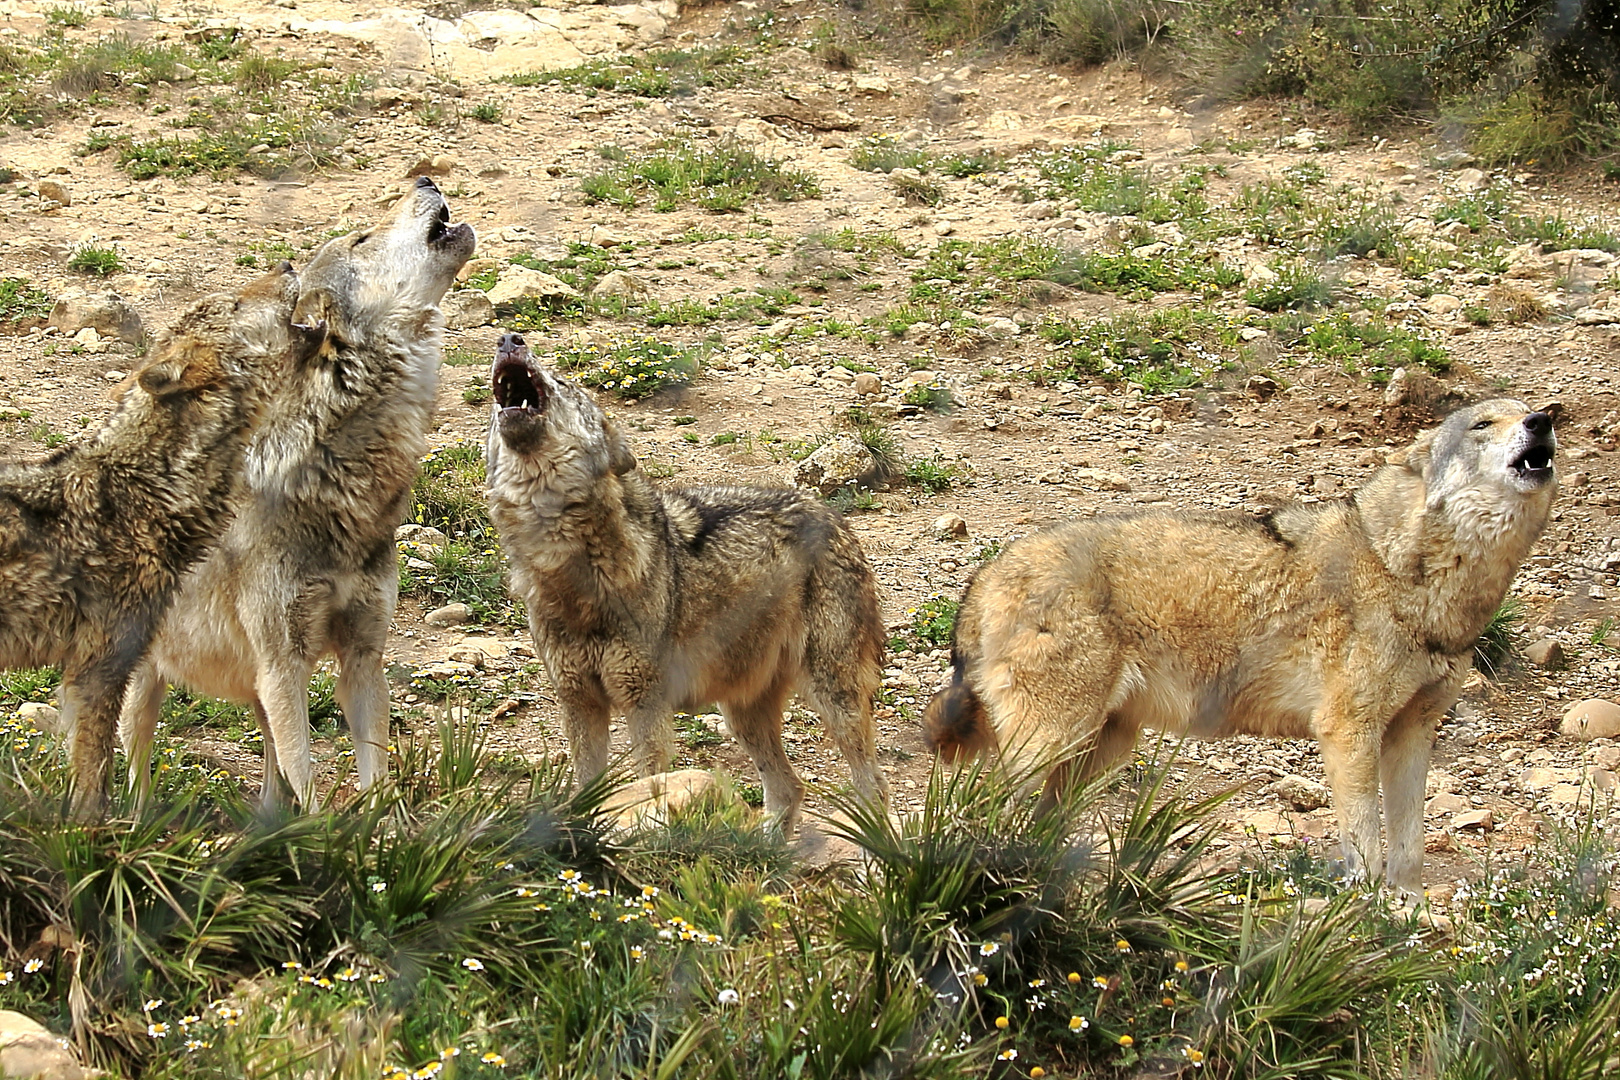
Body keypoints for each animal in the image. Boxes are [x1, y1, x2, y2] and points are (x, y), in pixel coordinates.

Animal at [0, 265, 314, 816]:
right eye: (234, 304)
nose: (287, 266)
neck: (147, 489)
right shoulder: (100, 667)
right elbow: (94, 784)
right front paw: (91, 836)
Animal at [118, 177, 473, 806]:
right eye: (361, 238)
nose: (425, 179)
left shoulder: (362, 658)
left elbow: (371, 778)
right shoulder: (284, 663)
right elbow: (307, 781)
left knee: (269, 775)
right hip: (145, 684)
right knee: (132, 770)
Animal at [479, 333, 894, 835]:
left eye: (563, 383)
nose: (510, 339)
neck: (572, 571)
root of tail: (835, 517)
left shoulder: (645, 702)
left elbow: (651, 785)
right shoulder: (578, 700)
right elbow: (587, 789)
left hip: (832, 695)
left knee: (872, 786)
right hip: (742, 713)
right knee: (789, 788)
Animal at [926, 399, 1555, 893]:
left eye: (1529, 410)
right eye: (1482, 424)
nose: (1545, 420)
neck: (1408, 572)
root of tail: (985, 575)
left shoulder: (1413, 733)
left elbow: (1409, 852)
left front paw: (1408, 918)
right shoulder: (1348, 730)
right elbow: (1365, 848)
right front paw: (1362, 918)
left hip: (1098, 750)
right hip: (1053, 744)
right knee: (978, 810)